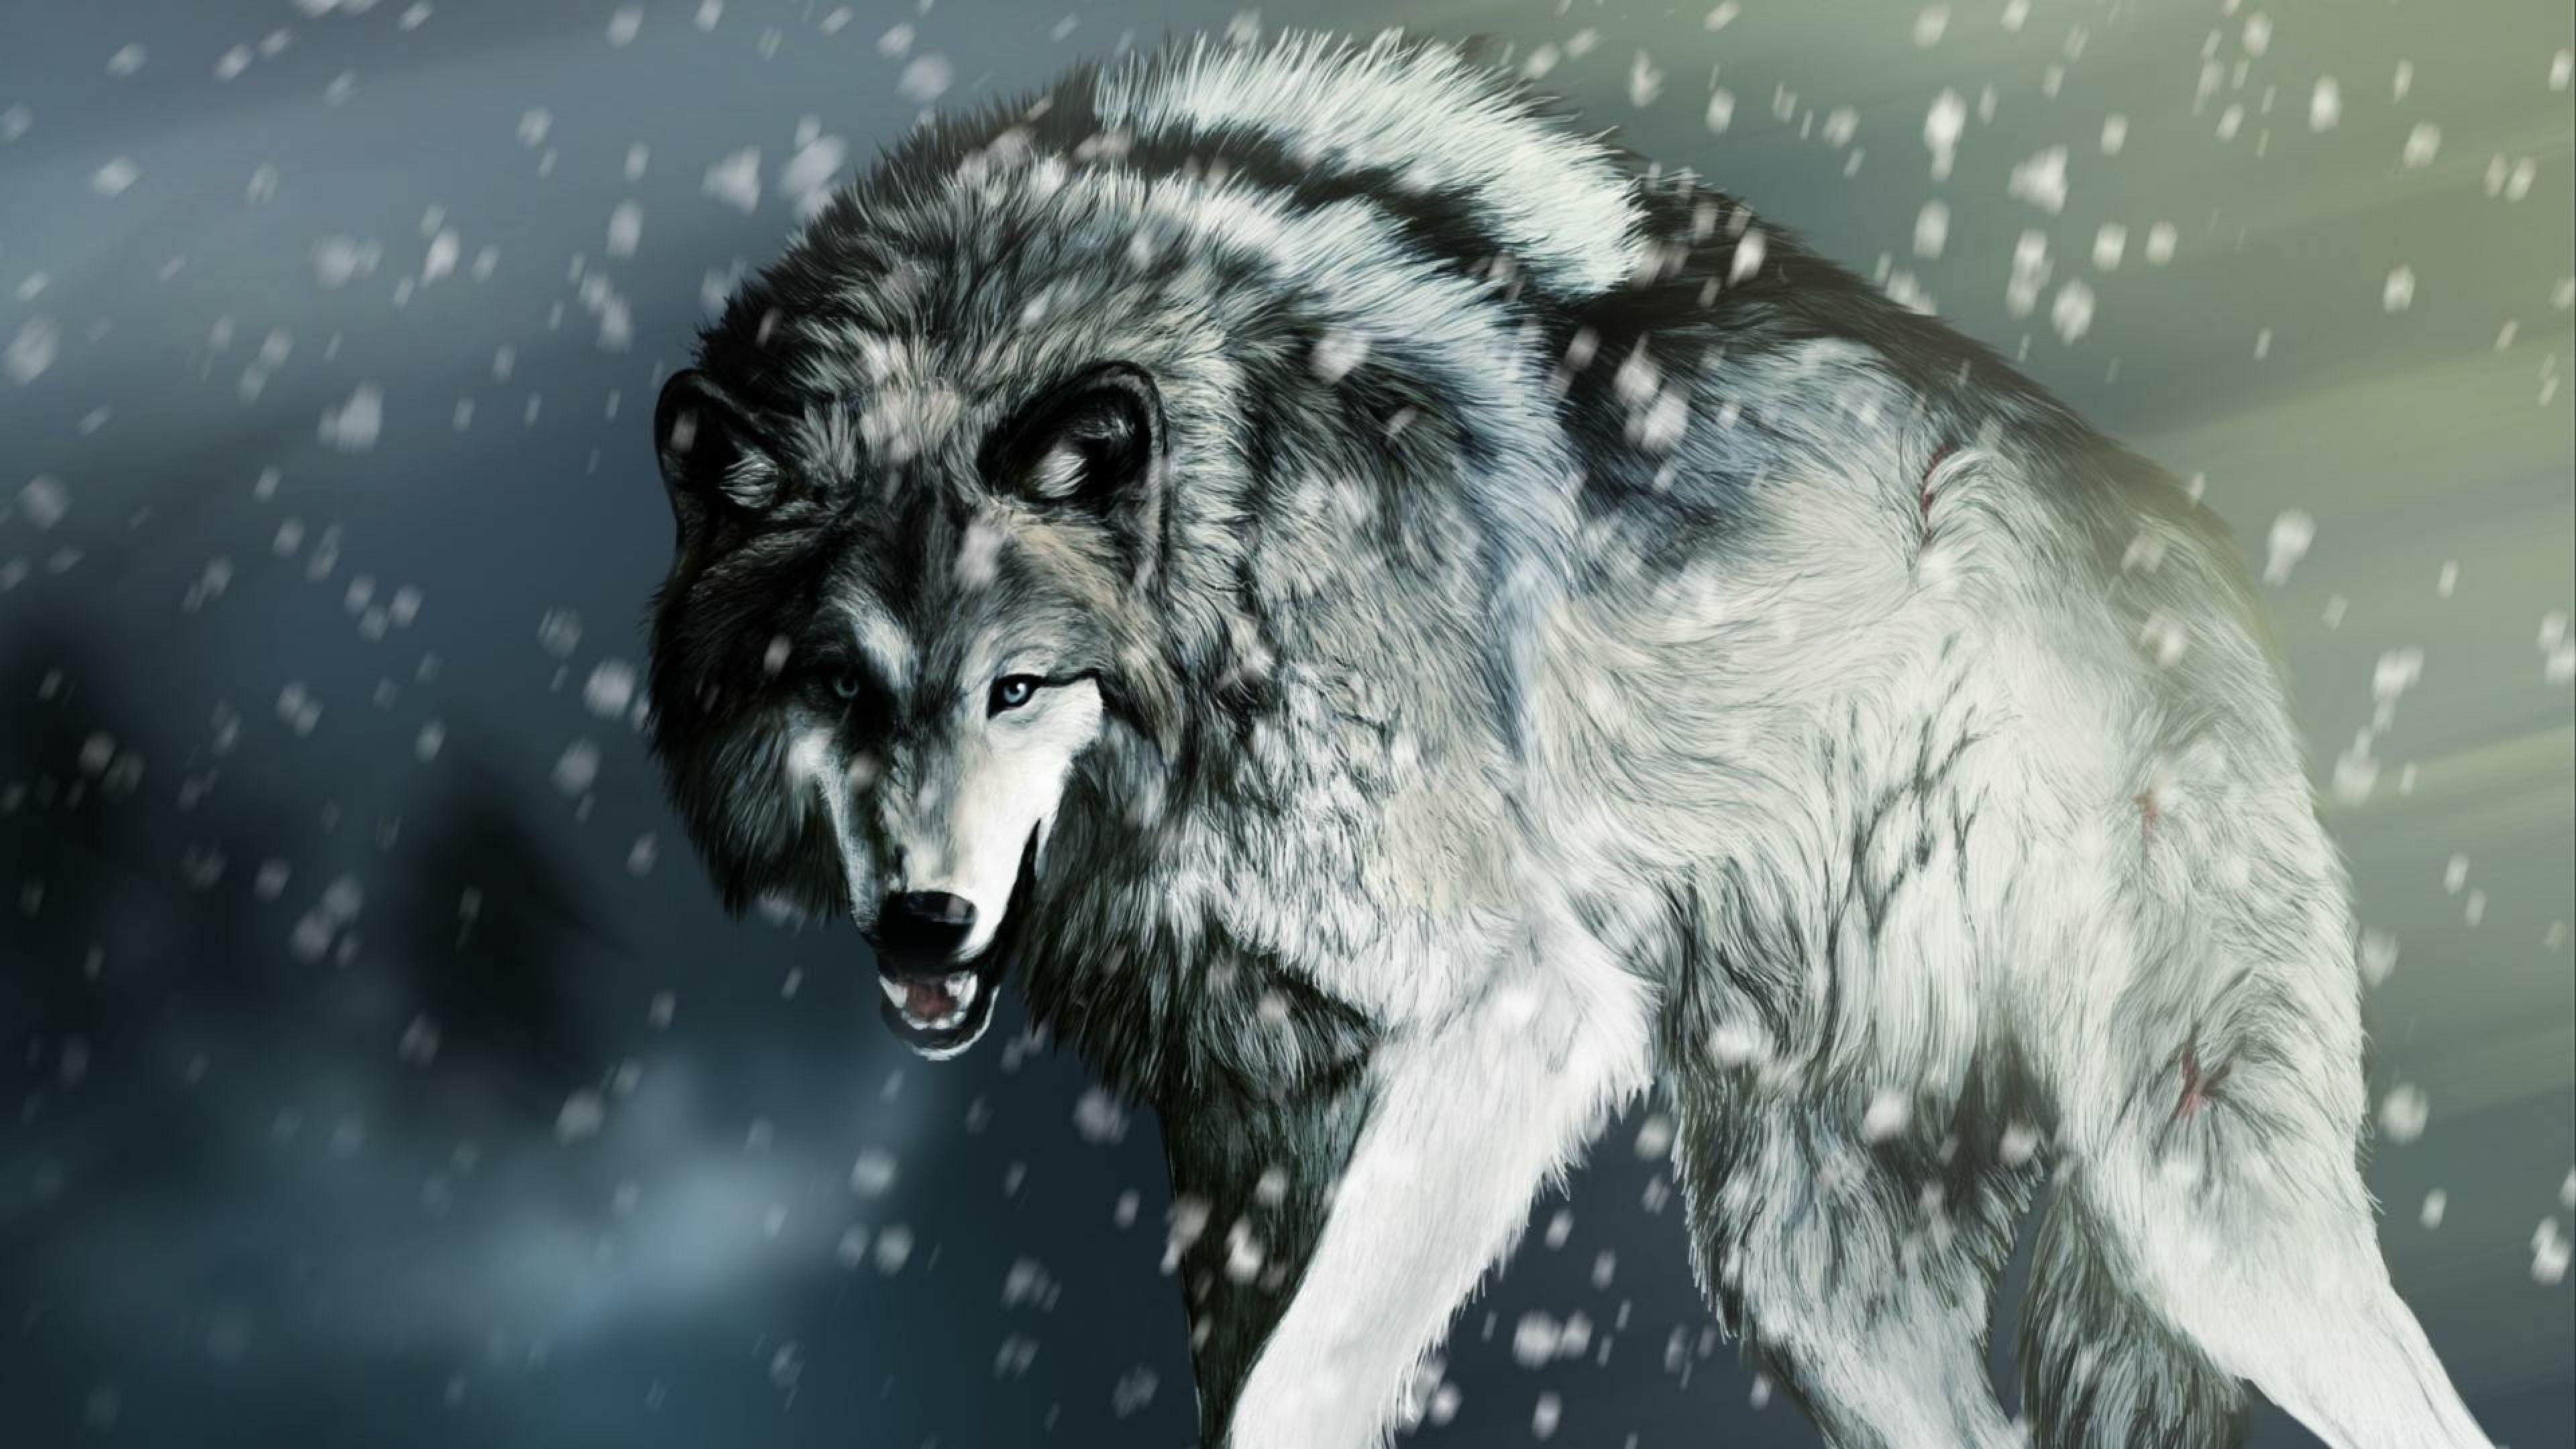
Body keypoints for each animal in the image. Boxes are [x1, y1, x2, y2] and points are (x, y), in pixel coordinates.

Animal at [640, 30, 2492, 1449]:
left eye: (1018, 687)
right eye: (838, 686)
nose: (923, 925)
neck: (1226, 542)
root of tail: (2181, 529)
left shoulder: (1512, 1009)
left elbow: (1300, 1388)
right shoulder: (1247, 1131)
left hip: (2194, 1208)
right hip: (1802, 1276)